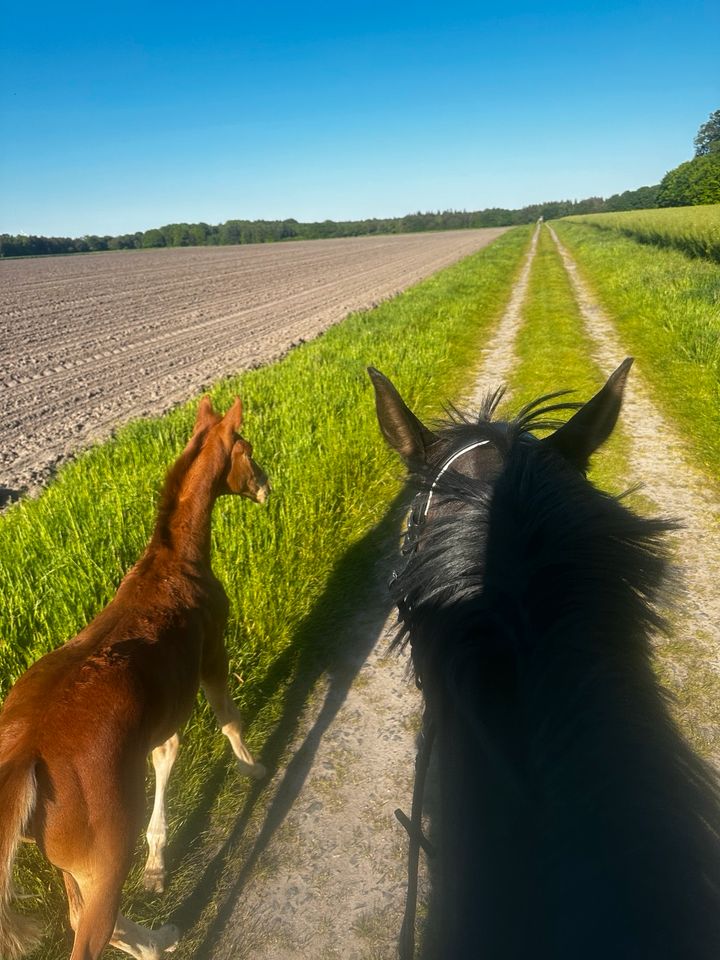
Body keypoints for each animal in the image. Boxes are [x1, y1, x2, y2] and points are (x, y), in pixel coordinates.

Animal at [0, 394, 268, 956]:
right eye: (247, 448)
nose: (265, 486)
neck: (169, 566)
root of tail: (23, 758)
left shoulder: (160, 716)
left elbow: (165, 756)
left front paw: (157, 865)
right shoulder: (213, 655)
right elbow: (228, 717)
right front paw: (253, 769)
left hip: (68, 861)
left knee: (82, 916)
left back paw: (157, 938)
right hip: (101, 860)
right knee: (90, 929)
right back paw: (157, 938)